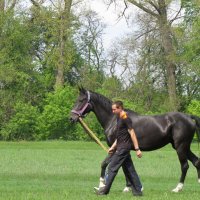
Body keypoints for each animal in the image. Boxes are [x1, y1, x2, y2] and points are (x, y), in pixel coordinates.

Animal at [70, 87, 200, 192]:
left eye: (81, 100)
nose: (71, 118)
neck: (114, 119)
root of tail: (189, 117)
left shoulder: (116, 148)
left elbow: (105, 164)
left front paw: (102, 185)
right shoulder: (124, 149)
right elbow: (125, 167)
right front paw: (128, 187)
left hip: (180, 147)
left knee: (185, 166)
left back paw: (178, 188)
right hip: (183, 147)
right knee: (196, 161)